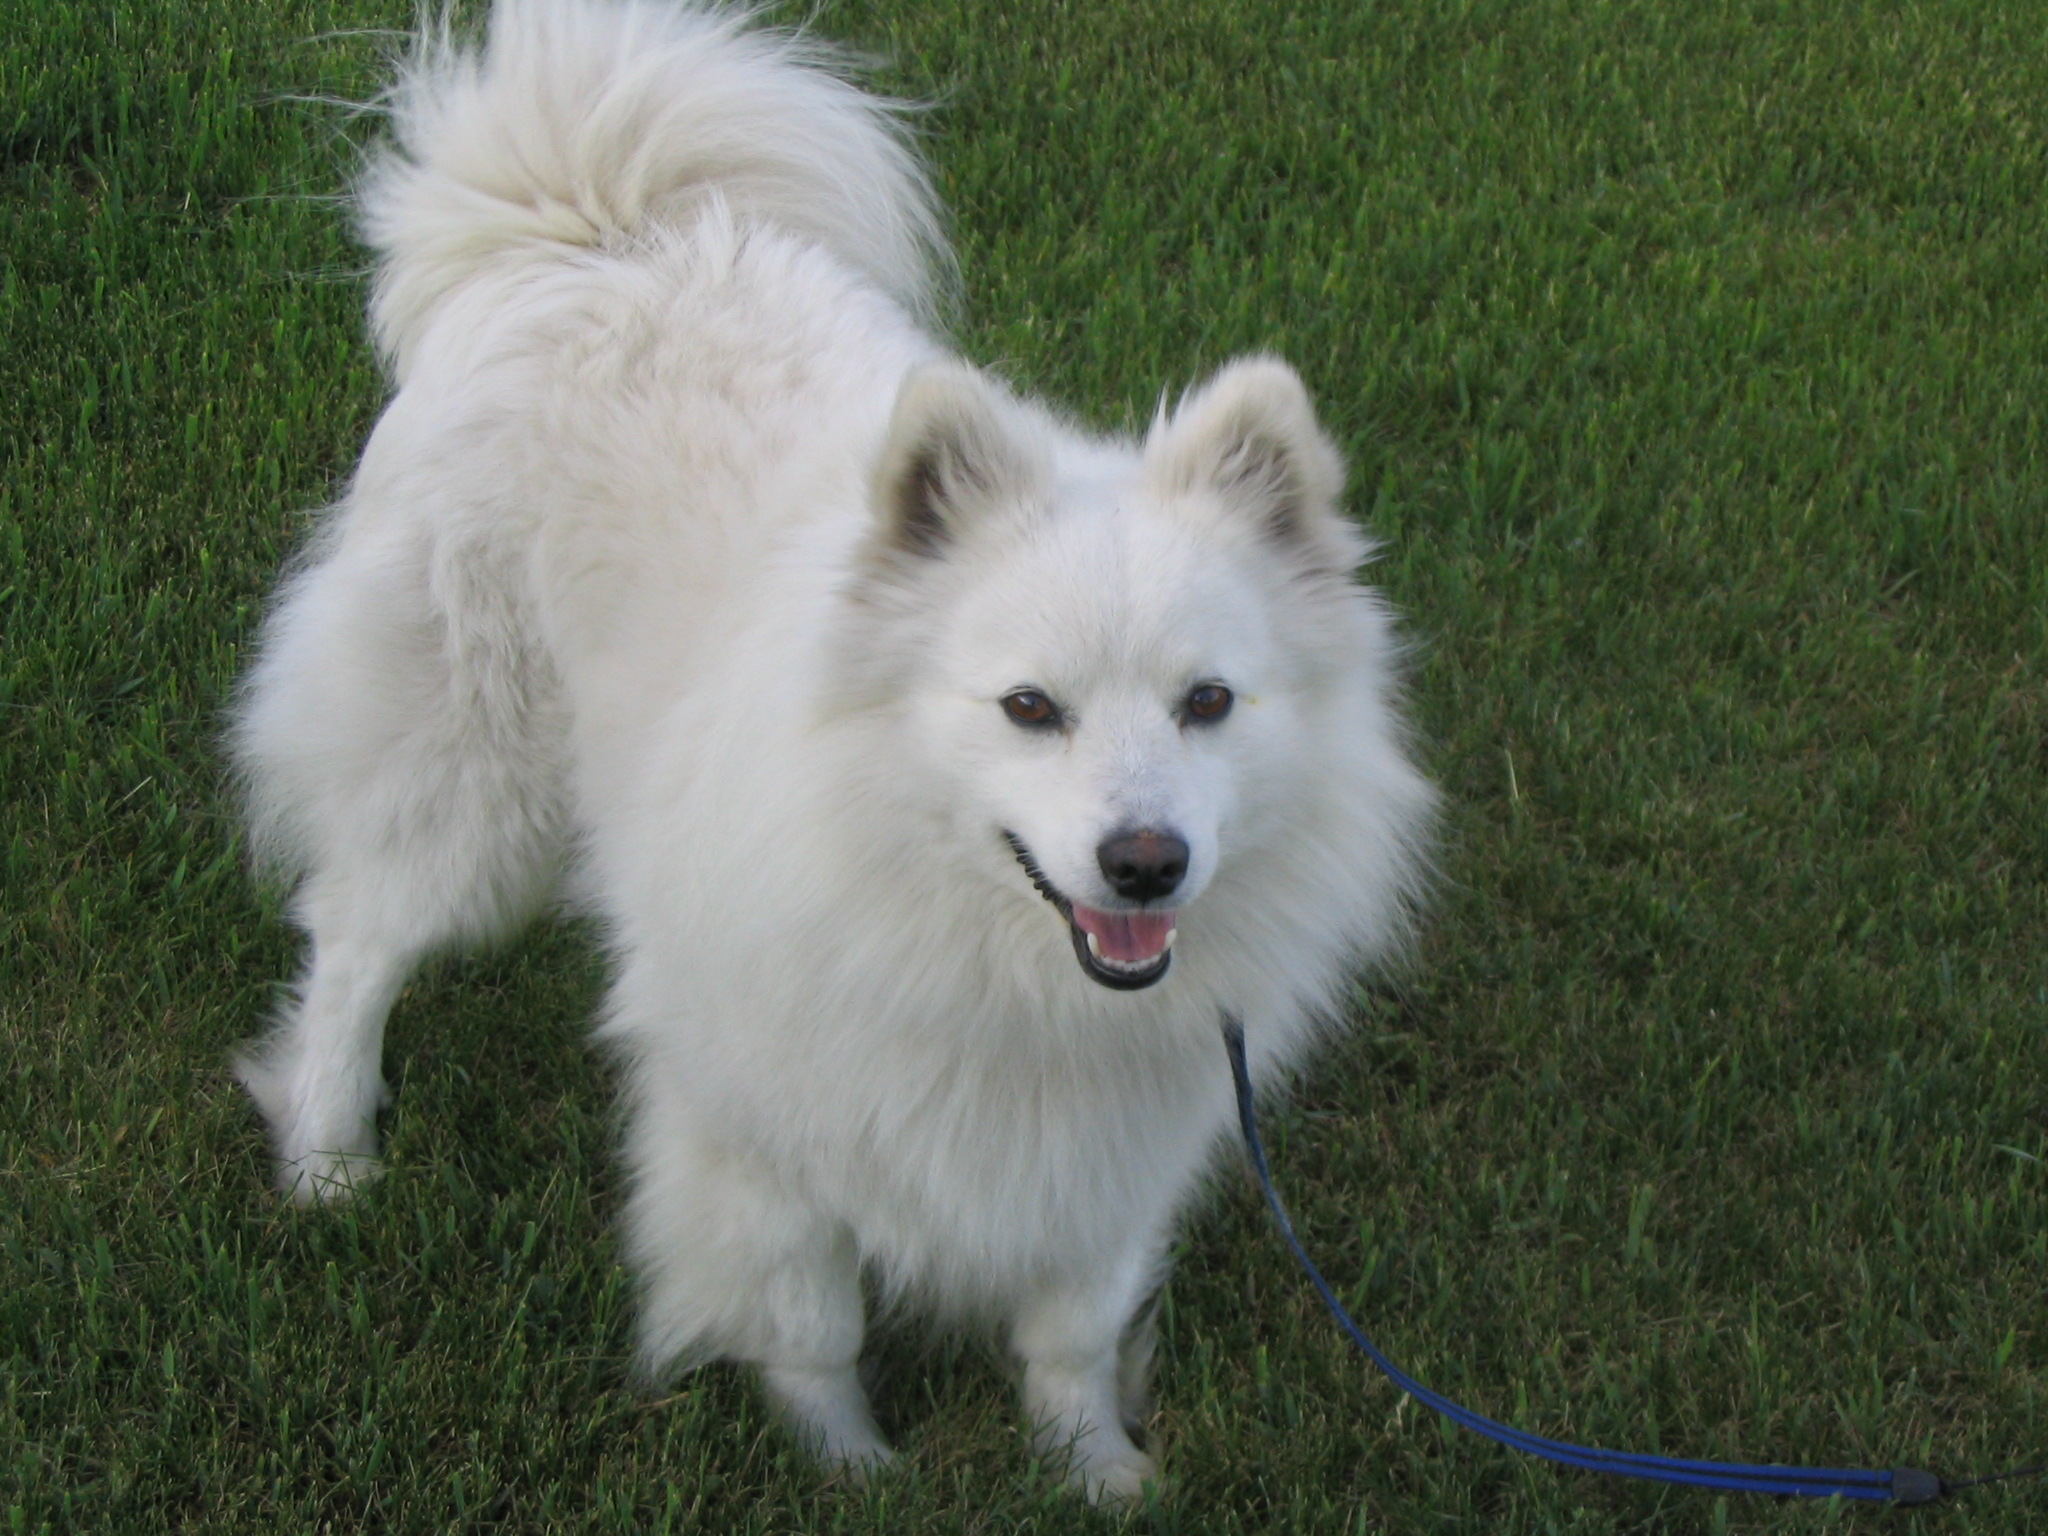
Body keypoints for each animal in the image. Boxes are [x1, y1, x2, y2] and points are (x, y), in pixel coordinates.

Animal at [232, 0, 1433, 1507]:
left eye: (1208, 702)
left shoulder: (1110, 1163)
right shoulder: (762, 1135)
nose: (1146, 863)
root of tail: (596, 234)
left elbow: (1070, 1333)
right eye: (1028, 708)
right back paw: (331, 1158)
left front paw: (1094, 1474)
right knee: (357, 940)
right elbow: (812, 1325)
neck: (994, 969)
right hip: (474, 792)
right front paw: (852, 1471)